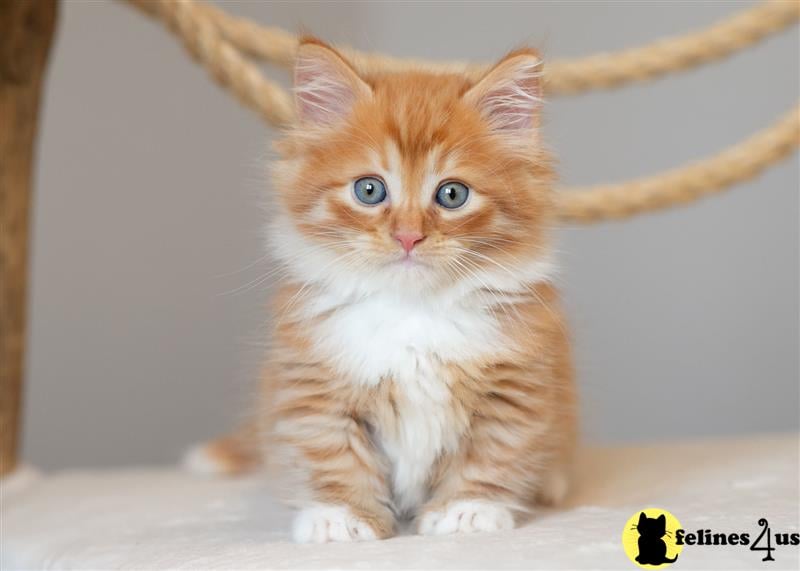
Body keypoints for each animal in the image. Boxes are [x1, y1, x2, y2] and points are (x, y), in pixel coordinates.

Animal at [188, 39, 576, 540]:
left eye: (452, 195)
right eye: (369, 190)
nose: (408, 236)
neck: (412, 312)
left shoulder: (516, 387)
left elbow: (491, 454)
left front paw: (467, 509)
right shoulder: (312, 383)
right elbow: (333, 455)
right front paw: (341, 515)